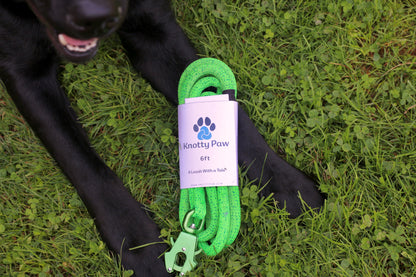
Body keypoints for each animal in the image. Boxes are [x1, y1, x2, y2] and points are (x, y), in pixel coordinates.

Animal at [0, 0, 324, 274]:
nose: (97, 16)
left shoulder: (155, 28)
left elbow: (233, 117)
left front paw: (289, 185)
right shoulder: (23, 71)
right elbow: (81, 161)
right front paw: (136, 242)